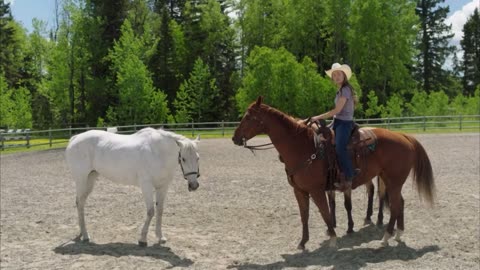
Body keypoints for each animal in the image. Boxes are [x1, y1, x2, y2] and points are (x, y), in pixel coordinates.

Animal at [64, 127, 200, 246]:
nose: (194, 185)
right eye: (183, 159)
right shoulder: (146, 185)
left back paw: (82, 232)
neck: (157, 152)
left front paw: (160, 237)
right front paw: (142, 239)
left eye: (198, 158)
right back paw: (85, 235)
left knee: (81, 203)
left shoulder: (162, 187)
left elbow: (160, 211)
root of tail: (75, 138)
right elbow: (151, 211)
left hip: (90, 179)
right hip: (81, 180)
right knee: (79, 202)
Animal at [232, 97, 436, 249]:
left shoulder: (316, 190)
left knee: (394, 205)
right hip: (390, 180)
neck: (303, 147)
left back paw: (386, 237)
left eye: (249, 117)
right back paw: (398, 233)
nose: (234, 138)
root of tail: (404, 136)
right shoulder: (299, 191)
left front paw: (332, 238)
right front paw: (303, 242)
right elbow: (305, 215)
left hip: (393, 181)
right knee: (399, 203)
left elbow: (324, 212)